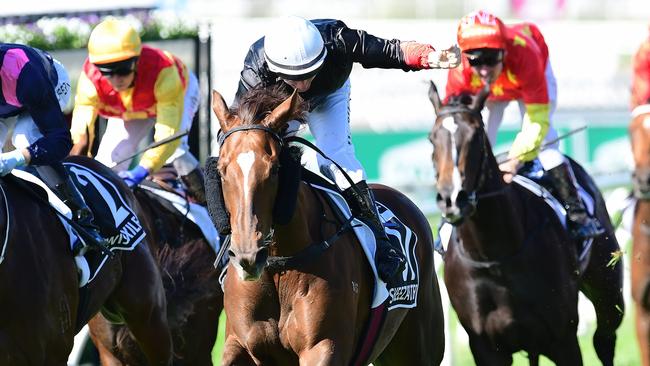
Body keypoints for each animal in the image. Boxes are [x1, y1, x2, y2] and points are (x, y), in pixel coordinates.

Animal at [213, 84, 446, 364]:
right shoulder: (239, 344)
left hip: (417, 345)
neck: (279, 265)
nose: (248, 256)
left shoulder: (324, 347)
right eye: (222, 170)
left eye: (275, 169)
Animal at [426, 81, 624, 364]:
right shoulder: (485, 347)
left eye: (475, 137)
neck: (494, 257)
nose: (452, 198)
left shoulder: (563, 339)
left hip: (608, 290)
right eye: (432, 138)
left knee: (604, 339)